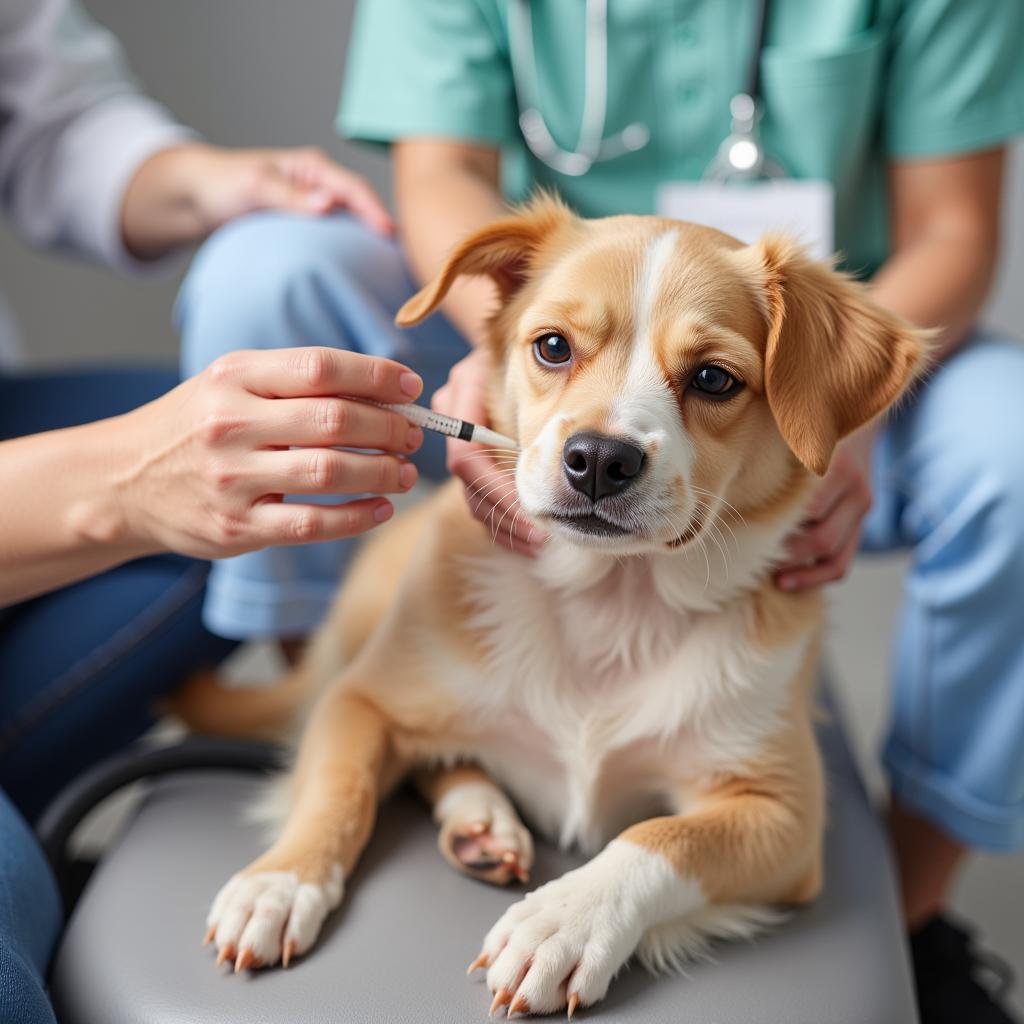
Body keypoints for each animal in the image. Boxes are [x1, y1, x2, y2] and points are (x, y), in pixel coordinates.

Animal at [184, 193, 929, 1015]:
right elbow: (336, 790)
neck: (614, 598)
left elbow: (659, 839)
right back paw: (477, 818)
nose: (599, 459)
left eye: (713, 378)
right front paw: (280, 883)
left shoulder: (786, 814)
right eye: (551, 347)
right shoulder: (358, 702)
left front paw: (563, 922)